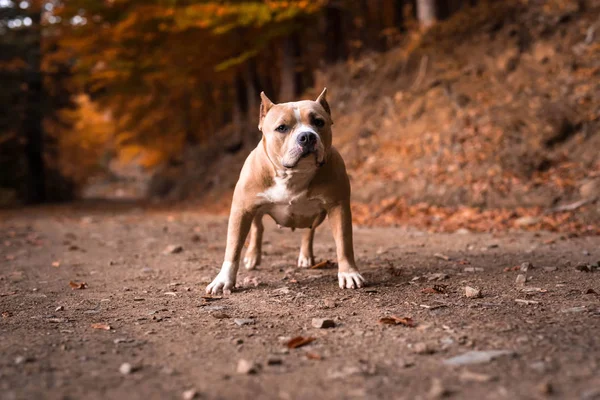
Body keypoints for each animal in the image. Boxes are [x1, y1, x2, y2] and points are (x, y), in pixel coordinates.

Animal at [206, 88, 366, 294]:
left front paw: (348, 273)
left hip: (319, 214)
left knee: (309, 231)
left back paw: (305, 256)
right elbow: (233, 247)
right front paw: (224, 279)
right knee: (258, 228)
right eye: (282, 128)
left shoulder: (338, 206)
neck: (293, 174)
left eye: (319, 122)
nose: (307, 136)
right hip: (255, 210)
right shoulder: (241, 209)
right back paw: (252, 256)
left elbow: (344, 243)